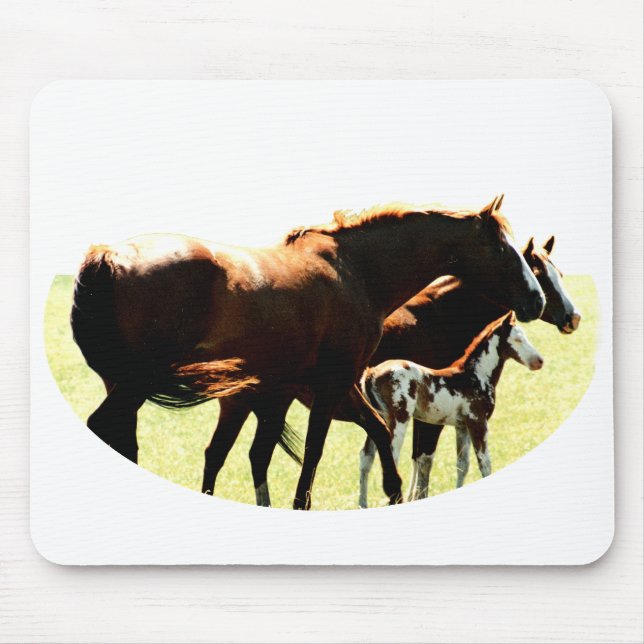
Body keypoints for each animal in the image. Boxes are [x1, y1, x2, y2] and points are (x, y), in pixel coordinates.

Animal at [358, 312, 543, 507]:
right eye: (518, 339)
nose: (539, 361)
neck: (475, 376)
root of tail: (371, 372)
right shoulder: (478, 422)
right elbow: (485, 462)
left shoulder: (462, 426)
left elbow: (462, 465)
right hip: (399, 419)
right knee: (392, 458)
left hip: (379, 418)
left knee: (367, 457)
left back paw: (363, 504)